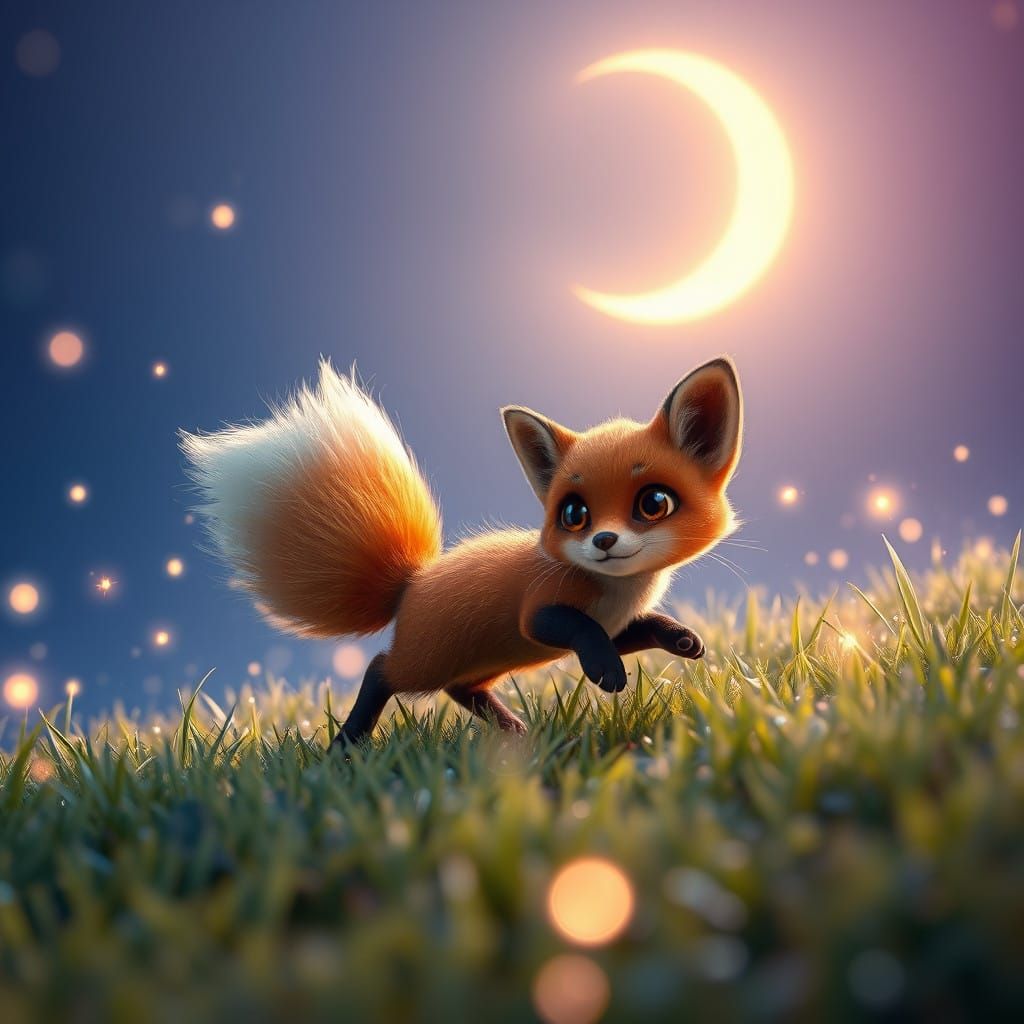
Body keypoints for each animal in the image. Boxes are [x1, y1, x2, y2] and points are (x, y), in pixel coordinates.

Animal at [180, 355, 743, 747]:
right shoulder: (539, 614)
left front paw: (682, 640)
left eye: (653, 503)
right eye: (574, 514)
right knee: (379, 670)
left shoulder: (614, 621)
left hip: (481, 663)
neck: (617, 592)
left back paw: (515, 732)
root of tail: (410, 582)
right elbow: (578, 629)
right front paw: (608, 672)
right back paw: (344, 748)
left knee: (461, 692)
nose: (604, 542)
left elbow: (640, 630)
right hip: (425, 662)